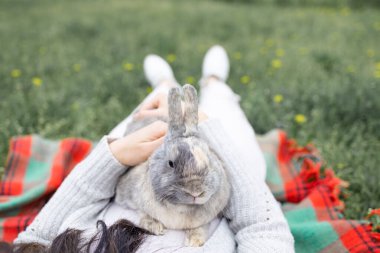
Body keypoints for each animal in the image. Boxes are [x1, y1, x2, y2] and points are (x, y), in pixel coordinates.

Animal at [114, 84, 230, 246]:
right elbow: (143, 214)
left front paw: (194, 241)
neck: (182, 207)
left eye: (209, 158)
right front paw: (155, 227)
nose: (196, 192)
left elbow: (201, 227)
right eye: (171, 163)